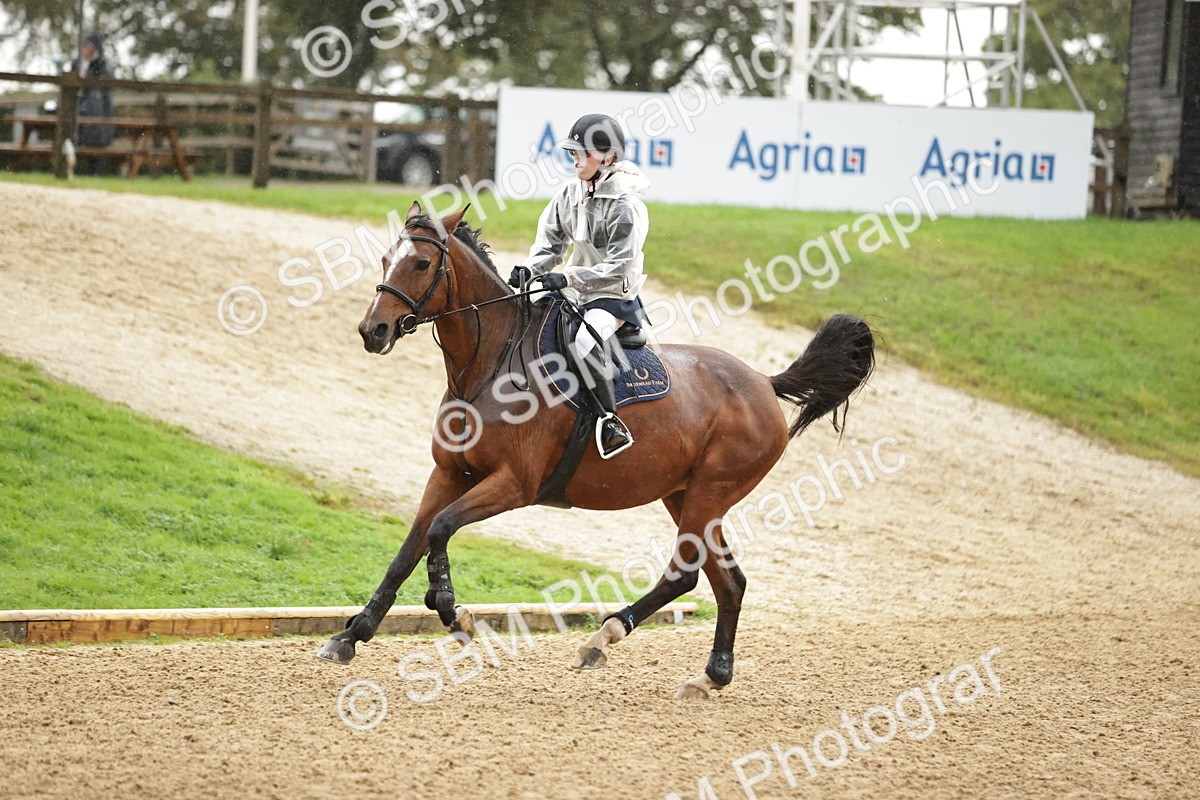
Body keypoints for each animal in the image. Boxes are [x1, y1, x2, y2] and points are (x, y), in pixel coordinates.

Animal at [315, 201, 875, 699]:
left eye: (422, 264)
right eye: (386, 259)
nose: (373, 330)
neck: (489, 364)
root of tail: (763, 381)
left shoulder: (513, 485)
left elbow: (439, 529)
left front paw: (453, 611)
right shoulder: (448, 474)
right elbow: (408, 550)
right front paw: (352, 635)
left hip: (709, 494)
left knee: (687, 573)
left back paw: (604, 637)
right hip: (685, 496)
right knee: (727, 580)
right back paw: (711, 674)